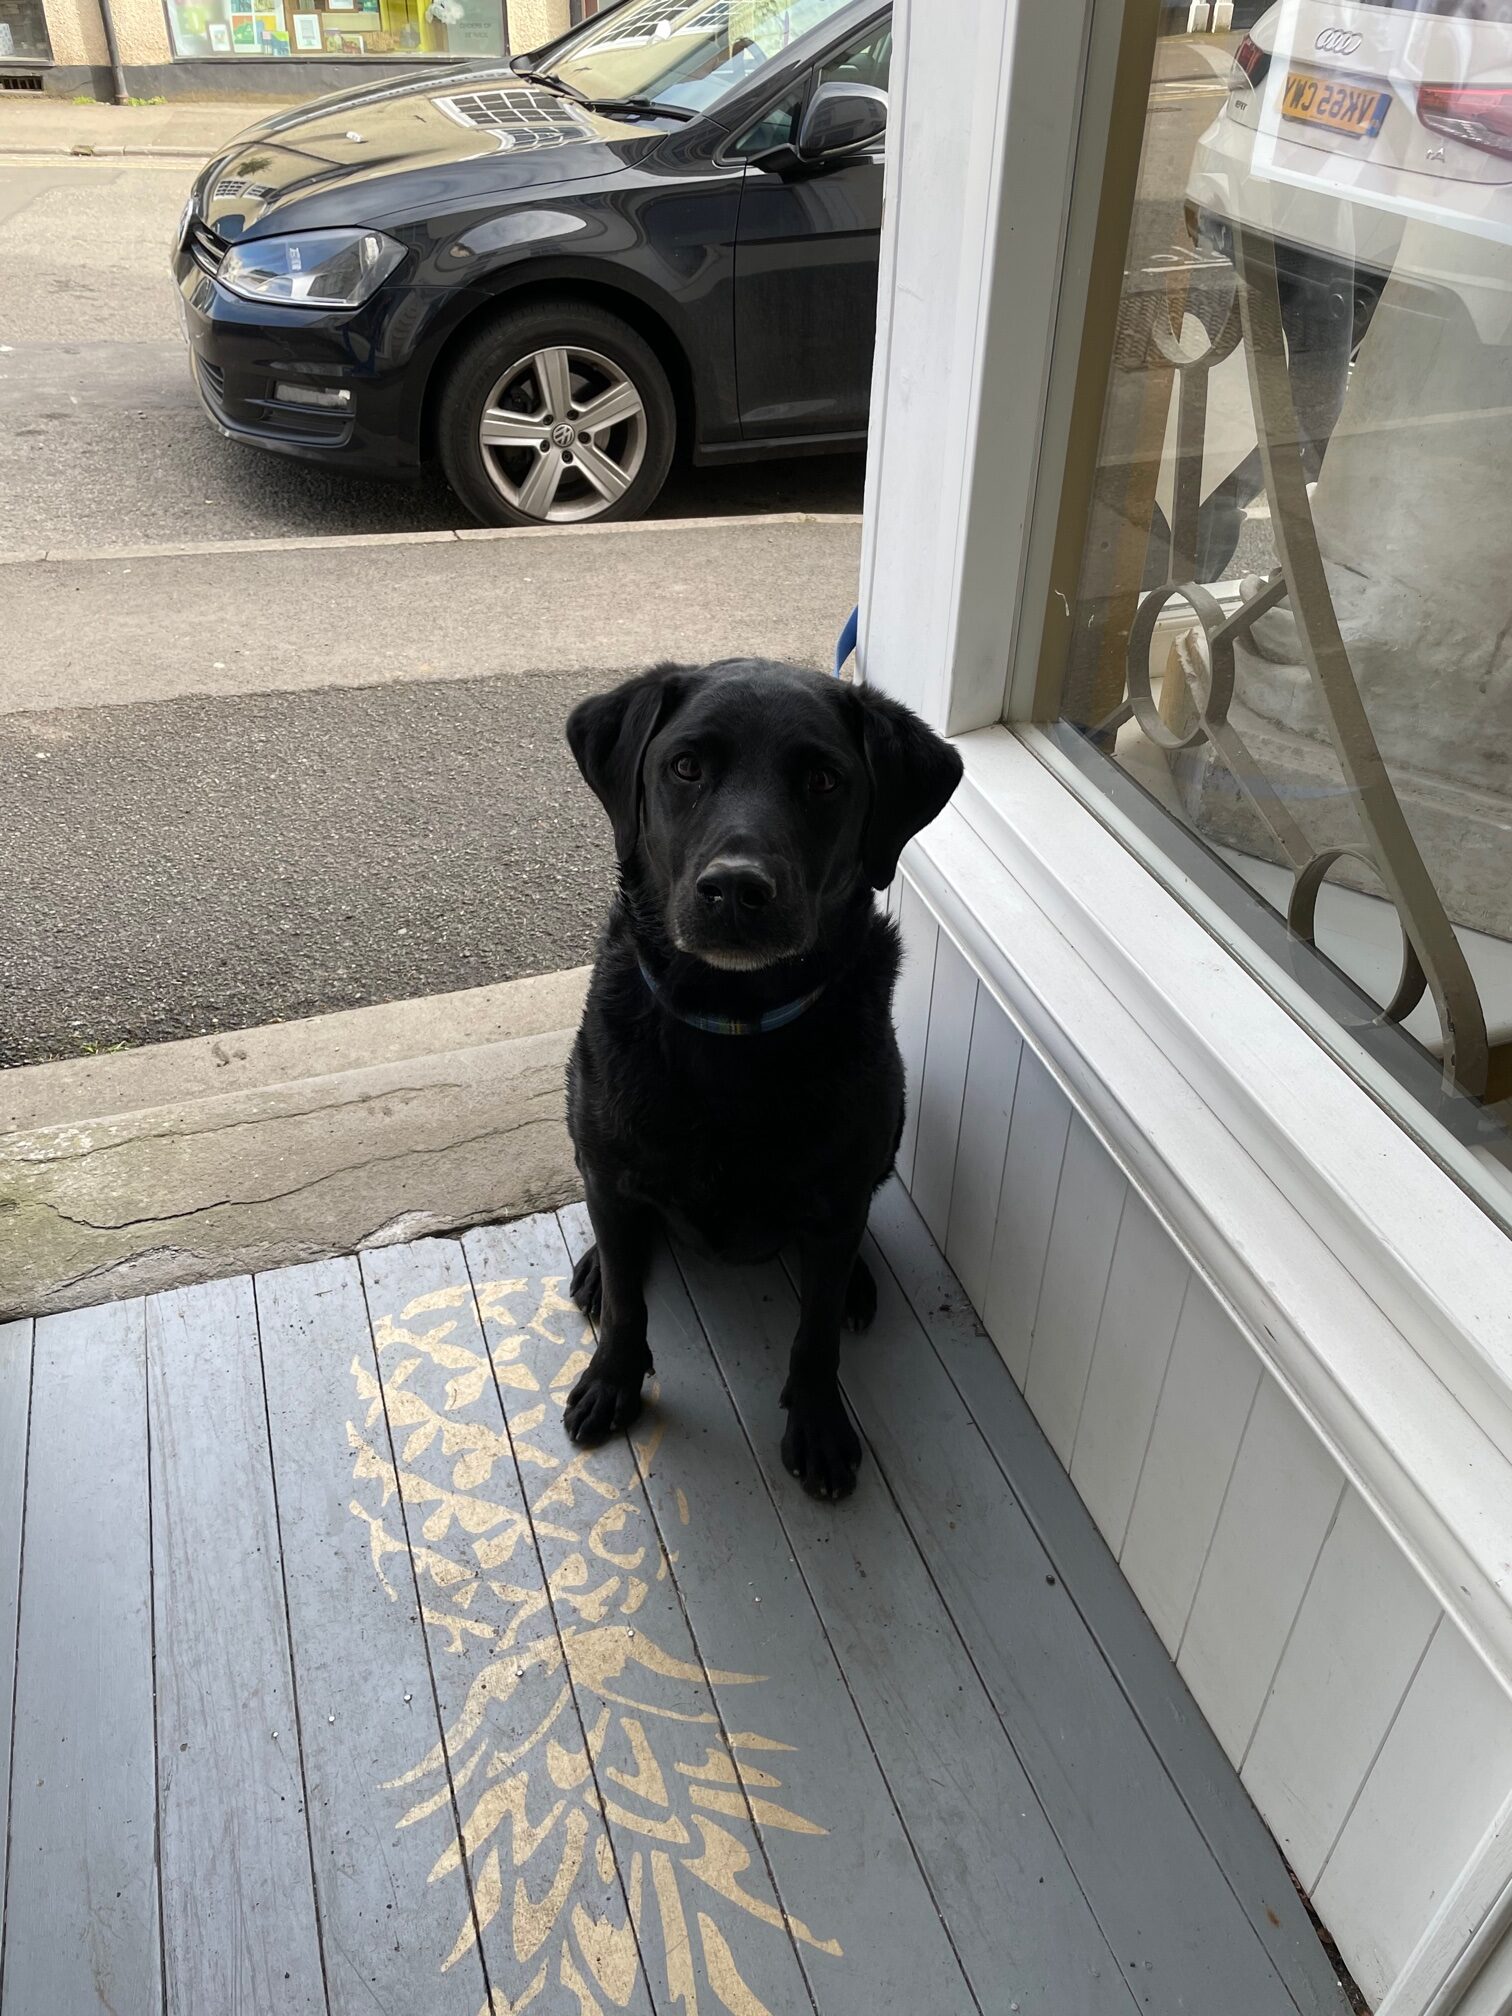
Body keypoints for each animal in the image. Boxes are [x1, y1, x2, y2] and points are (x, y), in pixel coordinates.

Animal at [564, 657, 963, 1499]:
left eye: (823, 780)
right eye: (686, 766)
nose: (736, 889)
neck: (735, 1026)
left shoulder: (838, 1196)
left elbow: (814, 1336)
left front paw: (817, 1423)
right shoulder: (610, 1166)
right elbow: (628, 1307)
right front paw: (612, 1380)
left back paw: (855, 1282)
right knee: (618, 1241)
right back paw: (596, 1269)